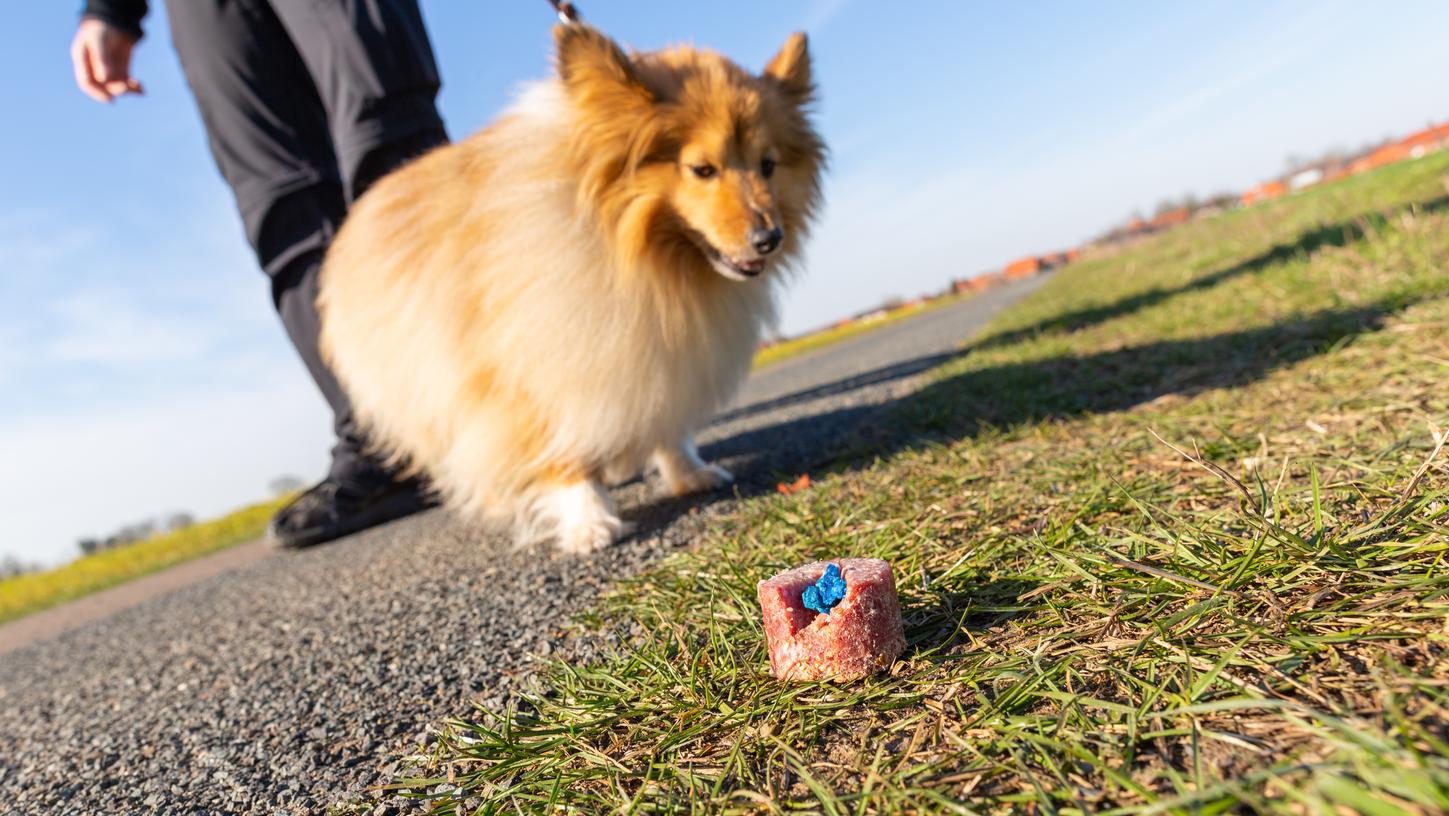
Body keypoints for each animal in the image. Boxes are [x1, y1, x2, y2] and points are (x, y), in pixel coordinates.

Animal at [323, 23, 834, 556]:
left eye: (768, 165)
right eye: (702, 169)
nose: (770, 238)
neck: (654, 262)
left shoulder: (660, 346)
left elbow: (666, 414)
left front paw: (689, 472)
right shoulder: (533, 359)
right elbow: (557, 445)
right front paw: (589, 519)